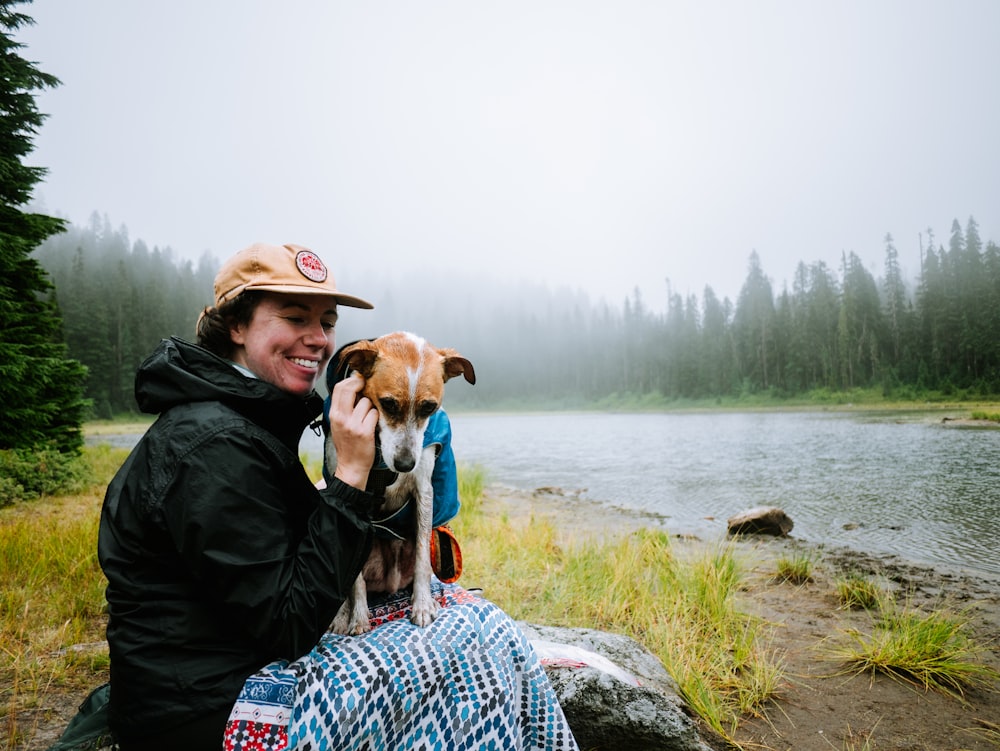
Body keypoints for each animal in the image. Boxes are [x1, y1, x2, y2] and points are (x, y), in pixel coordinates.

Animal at [324, 334, 472, 636]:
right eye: (388, 403)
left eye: (429, 407)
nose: (405, 464)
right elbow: (355, 581)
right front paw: (357, 617)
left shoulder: (423, 490)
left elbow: (422, 561)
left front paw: (423, 605)